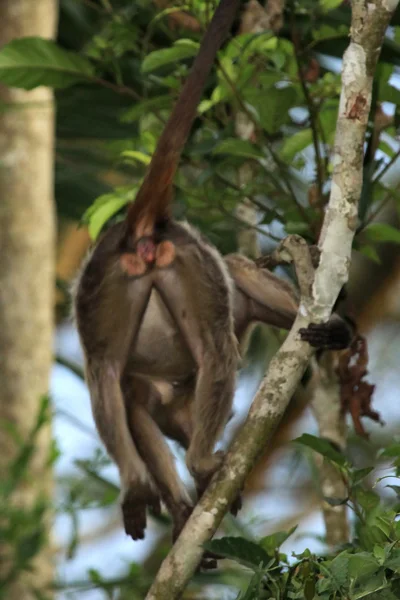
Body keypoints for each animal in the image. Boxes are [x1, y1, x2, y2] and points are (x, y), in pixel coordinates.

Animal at [72, 0, 354, 548]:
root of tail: (140, 229)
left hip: (109, 283)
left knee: (111, 371)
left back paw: (150, 484)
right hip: (181, 266)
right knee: (209, 339)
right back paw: (196, 471)